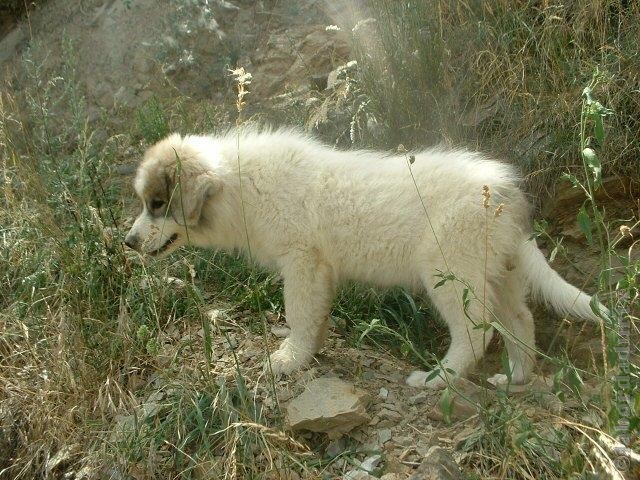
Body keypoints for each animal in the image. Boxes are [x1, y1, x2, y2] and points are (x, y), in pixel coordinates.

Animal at [125, 128, 600, 390]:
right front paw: (306, 355)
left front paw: (287, 360)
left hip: (451, 273)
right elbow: (314, 318)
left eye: (157, 204)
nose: (128, 242)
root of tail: (505, 192)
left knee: (475, 333)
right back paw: (515, 378)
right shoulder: (319, 270)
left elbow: (298, 315)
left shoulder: (302, 261)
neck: (240, 185)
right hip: (499, 271)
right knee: (521, 321)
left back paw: (438, 378)